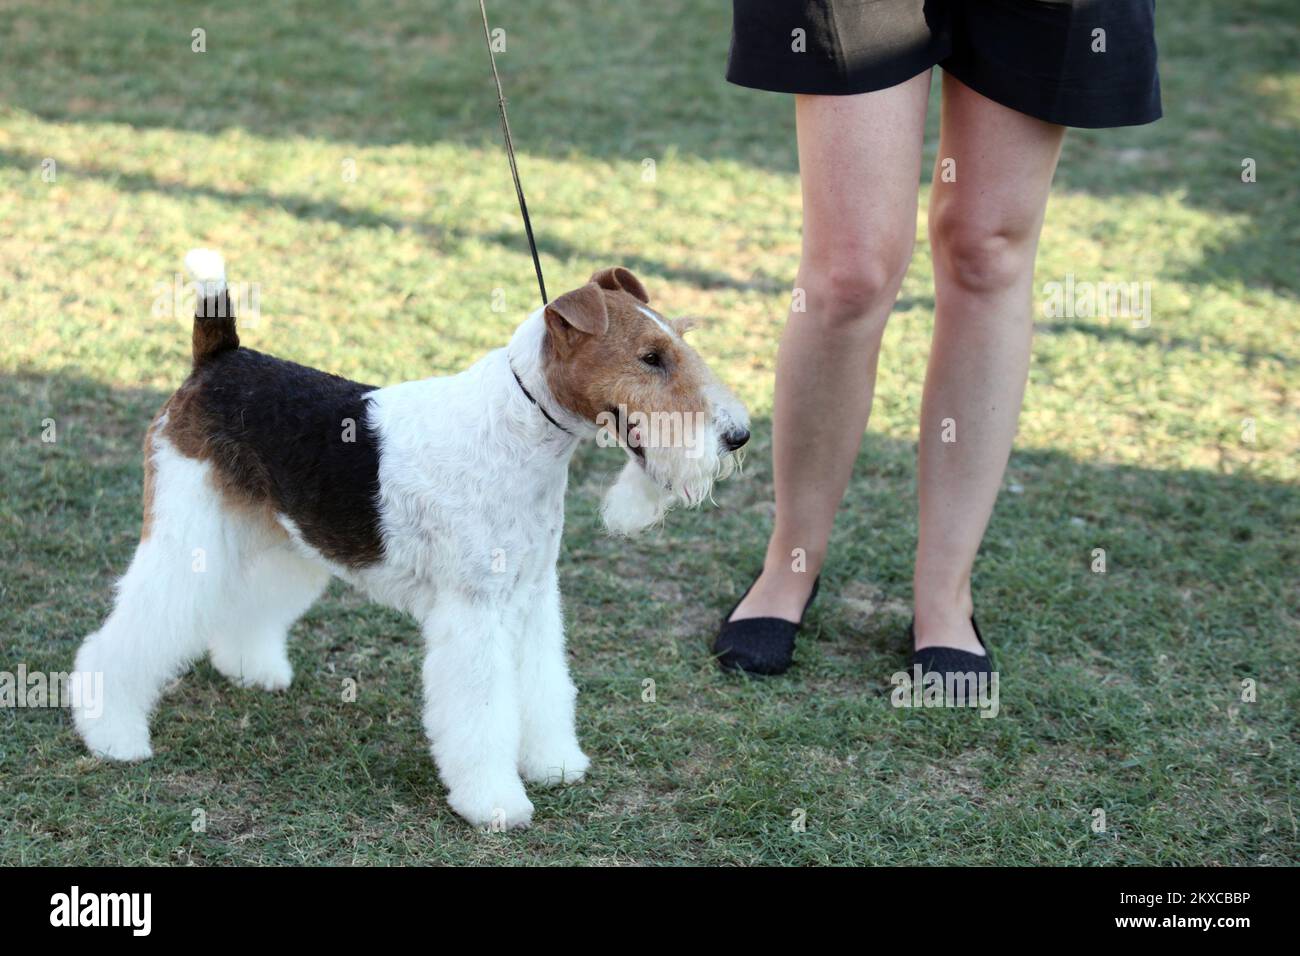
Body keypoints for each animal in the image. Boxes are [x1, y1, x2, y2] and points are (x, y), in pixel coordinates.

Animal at [71, 251, 748, 827]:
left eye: (678, 342)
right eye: (651, 357)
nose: (737, 436)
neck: (521, 432)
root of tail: (219, 359)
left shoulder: (531, 596)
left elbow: (543, 687)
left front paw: (554, 764)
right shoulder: (475, 610)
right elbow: (482, 712)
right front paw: (495, 802)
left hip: (278, 537)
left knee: (244, 609)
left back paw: (253, 669)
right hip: (188, 534)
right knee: (124, 638)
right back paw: (114, 735)